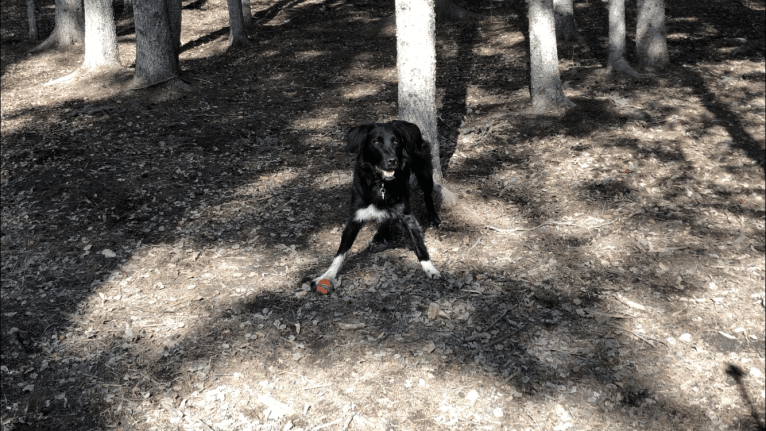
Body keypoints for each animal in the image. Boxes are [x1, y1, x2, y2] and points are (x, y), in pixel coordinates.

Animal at [314, 120, 444, 292]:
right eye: (376, 142)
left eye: (396, 141)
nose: (392, 161)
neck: (381, 183)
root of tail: (407, 123)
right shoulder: (354, 218)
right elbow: (341, 252)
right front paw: (328, 274)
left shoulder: (406, 215)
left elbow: (419, 244)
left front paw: (430, 268)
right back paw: (381, 235)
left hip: (424, 170)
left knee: (428, 196)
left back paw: (434, 218)